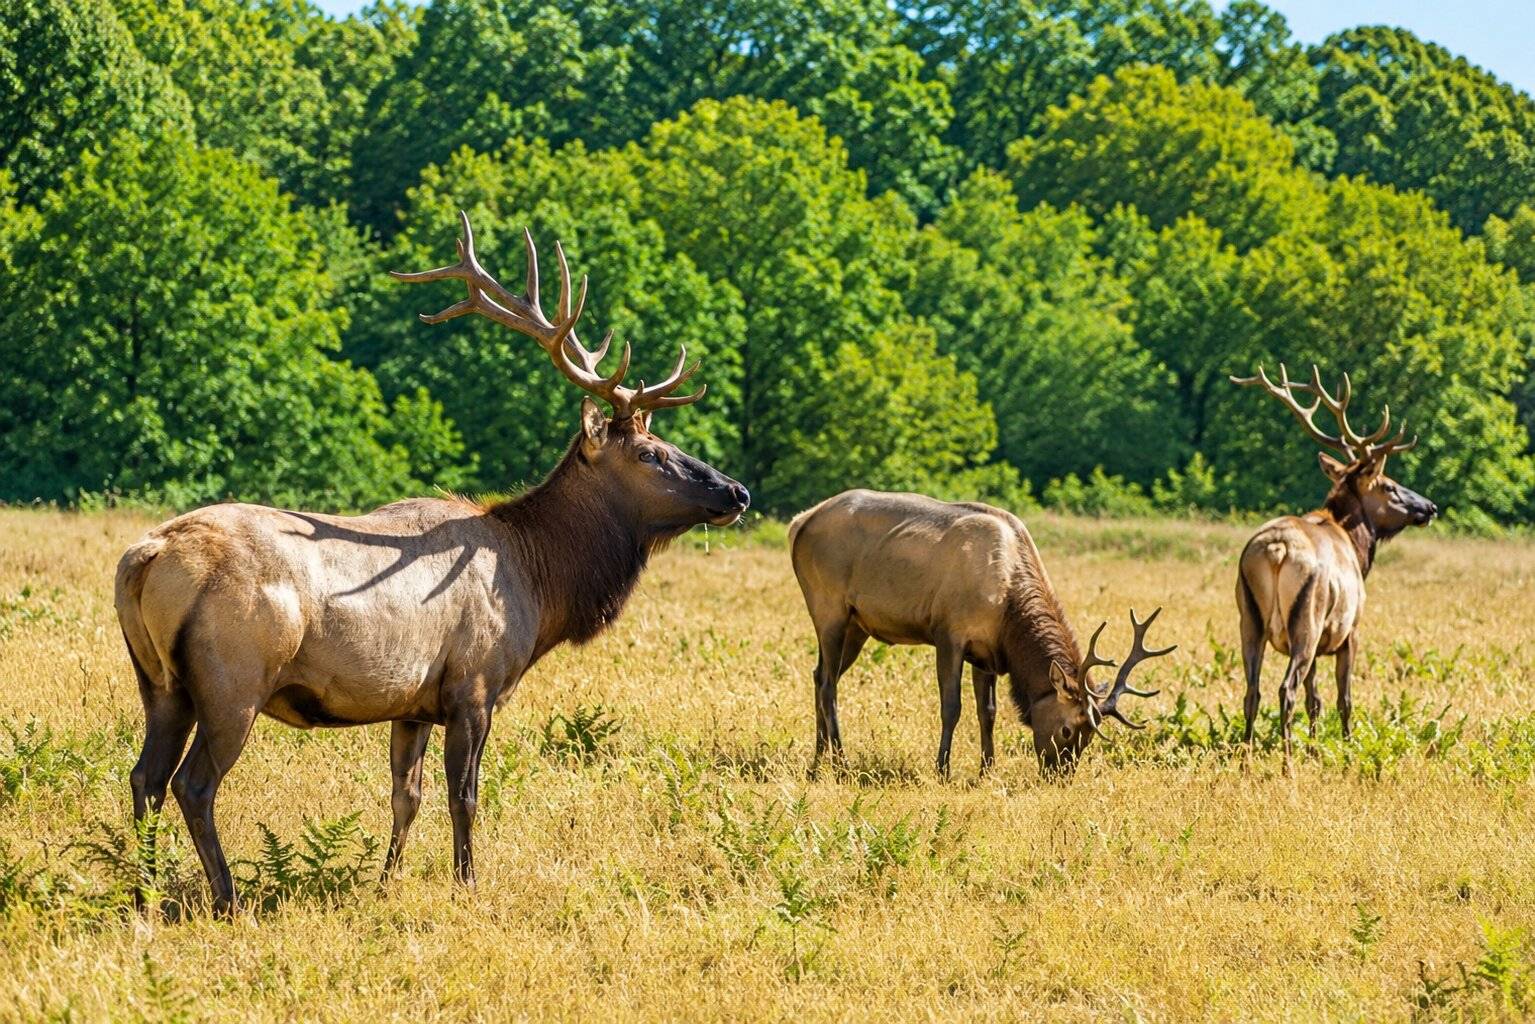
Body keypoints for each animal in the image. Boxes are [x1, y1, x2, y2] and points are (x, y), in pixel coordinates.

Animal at [114, 212, 750, 915]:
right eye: (650, 453)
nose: (736, 492)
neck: (542, 584)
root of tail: (145, 558)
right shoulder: (474, 685)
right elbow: (463, 795)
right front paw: (468, 883)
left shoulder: (413, 702)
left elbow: (405, 795)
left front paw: (386, 882)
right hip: (234, 678)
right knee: (192, 784)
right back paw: (225, 897)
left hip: (160, 683)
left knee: (145, 776)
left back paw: (141, 894)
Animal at [788, 489, 1175, 776]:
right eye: (1067, 730)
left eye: (1088, 739)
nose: (1059, 774)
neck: (1007, 611)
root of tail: (799, 522)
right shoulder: (948, 633)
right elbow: (951, 707)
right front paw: (942, 768)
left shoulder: (987, 652)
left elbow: (987, 711)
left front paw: (987, 769)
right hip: (829, 607)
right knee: (829, 684)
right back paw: (840, 761)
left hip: (857, 625)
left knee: (819, 674)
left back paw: (817, 761)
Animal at [1230, 364, 1436, 770]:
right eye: (1389, 485)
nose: (1430, 506)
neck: (1357, 548)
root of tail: (1275, 550)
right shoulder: (1349, 631)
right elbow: (1344, 699)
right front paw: (1348, 749)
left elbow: (1316, 700)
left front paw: (1314, 750)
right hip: (1306, 620)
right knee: (1285, 689)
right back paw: (1287, 765)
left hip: (1250, 618)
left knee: (1252, 690)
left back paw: (1246, 760)